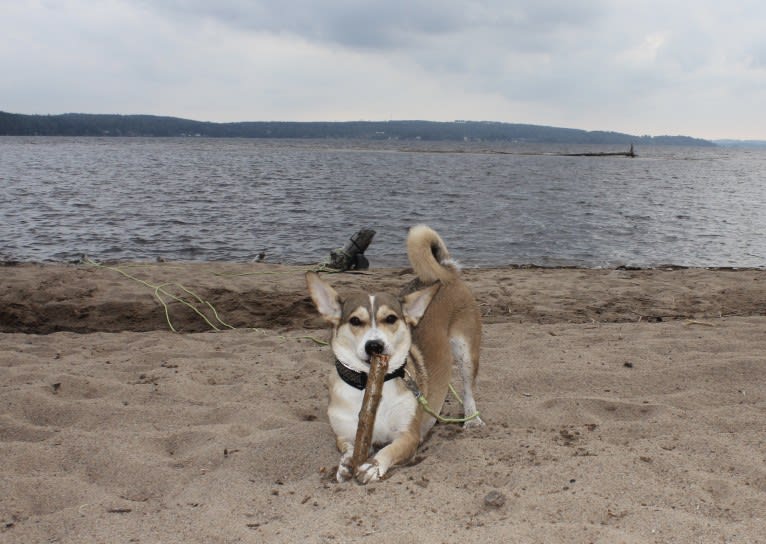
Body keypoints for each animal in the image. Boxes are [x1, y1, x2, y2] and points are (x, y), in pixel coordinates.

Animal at [304, 225, 480, 484]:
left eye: (390, 319)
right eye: (355, 321)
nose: (374, 345)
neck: (370, 385)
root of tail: (447, 269)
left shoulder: (408, 436)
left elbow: (390, 449)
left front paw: (373, 465)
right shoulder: (345, 435)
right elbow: (348, 448)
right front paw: (345, 463)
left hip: (467, 353)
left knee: (468, 390)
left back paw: (472, 420)